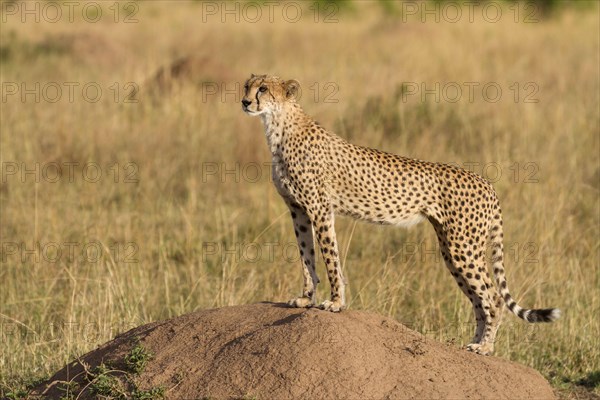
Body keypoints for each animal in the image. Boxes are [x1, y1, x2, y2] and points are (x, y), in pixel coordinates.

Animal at [241, 73, 560, 354]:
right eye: (247, 86)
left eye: (263, 89)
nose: (244, 101)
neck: (279, 125)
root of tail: (486, 182)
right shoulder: (298, 211)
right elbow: (306, 257)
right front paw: (306, 298)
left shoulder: (320, 209)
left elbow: (330, 259)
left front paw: (335, 303)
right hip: (451, 249)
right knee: (477, 299)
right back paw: (473, 344)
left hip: (463, 247)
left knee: (492, 296)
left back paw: (485, 348)